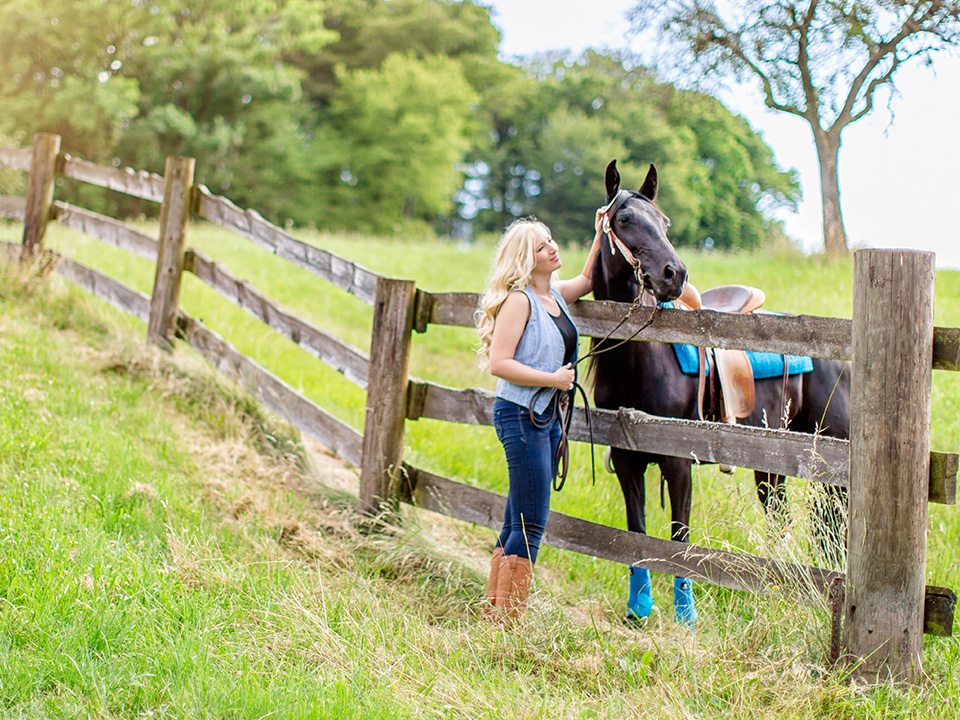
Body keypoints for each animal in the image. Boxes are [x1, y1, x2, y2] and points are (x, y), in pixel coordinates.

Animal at [590, 159, 850, 626]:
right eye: (625, 219)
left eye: (664, 222)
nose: (674, 274)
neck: (640, 361)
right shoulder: (627, 461)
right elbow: (637, 533)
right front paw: (639, 609)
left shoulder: (678, 463)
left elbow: (679, 538)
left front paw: (685, 616)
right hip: (774, 465)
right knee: (787, 520)